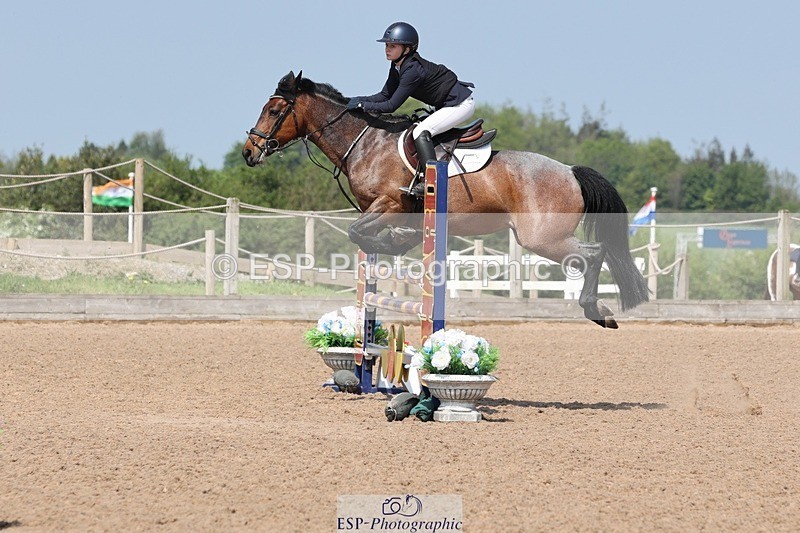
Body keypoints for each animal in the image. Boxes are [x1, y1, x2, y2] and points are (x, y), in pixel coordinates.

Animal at [242, 71, 649, 328]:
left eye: (275, 110)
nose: (248, 152)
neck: (365, 143)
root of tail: (570, 171)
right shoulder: (384, 211)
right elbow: (365, 237)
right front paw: (396, 243)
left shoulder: (389, 206)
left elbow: (357, 234)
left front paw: (390, 244)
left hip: (541, 238)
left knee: (594, 254)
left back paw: (597, 311)